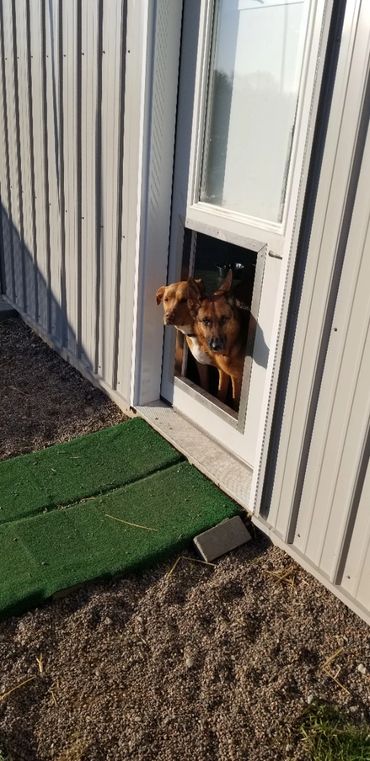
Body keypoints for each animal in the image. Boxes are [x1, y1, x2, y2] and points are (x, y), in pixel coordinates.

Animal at [188, 270, 249, 406]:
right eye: (206, 321)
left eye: (224, 318)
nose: (216, 346)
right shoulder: (224, 373)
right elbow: (221, 394)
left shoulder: (237, 379)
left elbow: (235, 401)